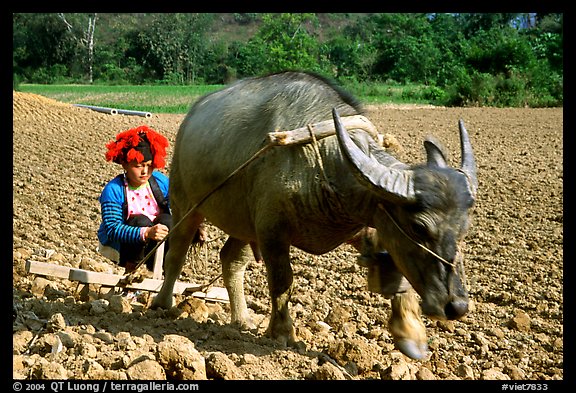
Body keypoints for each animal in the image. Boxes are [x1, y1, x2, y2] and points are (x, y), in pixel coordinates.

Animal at [152, 70, 476, 358]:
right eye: (420, 227)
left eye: (462, 229)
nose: (456, 306)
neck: (324, 163)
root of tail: (190, 117)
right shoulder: (272, 233)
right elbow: (282, 281)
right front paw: (283, 333)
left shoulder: (368, 226)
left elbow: (397, 275)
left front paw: (410, 334)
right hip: (185, 202)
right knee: (177, 250)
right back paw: (161, 303)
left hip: (242, 223)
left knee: (231, 259)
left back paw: (241, 319)